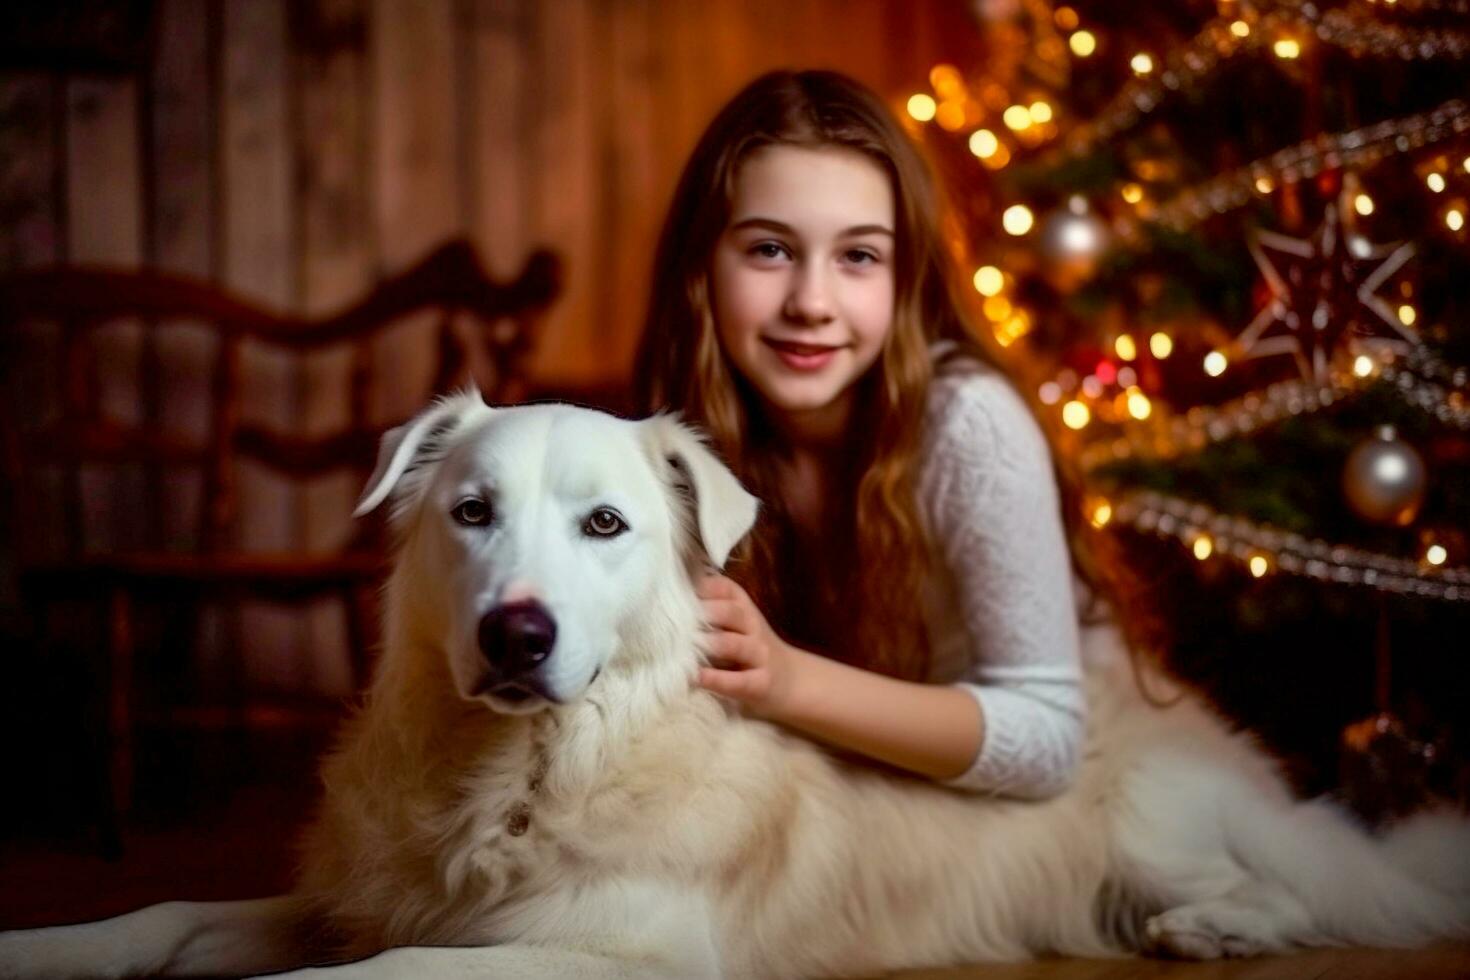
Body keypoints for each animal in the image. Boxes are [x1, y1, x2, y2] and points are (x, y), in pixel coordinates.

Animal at [2, 393, 1470, 980]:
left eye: (605, 525)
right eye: (470, 512)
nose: (518, 635)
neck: (526, 771)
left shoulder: (617, 948)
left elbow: (371, 976)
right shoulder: (356, 892)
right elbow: (160, 913)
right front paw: (40, 944)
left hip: (1152, 826)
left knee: (1289, 887)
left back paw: (1214, 927)